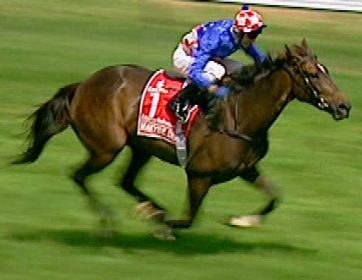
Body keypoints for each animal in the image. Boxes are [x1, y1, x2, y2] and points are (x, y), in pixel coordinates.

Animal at [13, 39, 350, 240]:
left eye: (326, 70)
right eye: (312, 74)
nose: (345, 105)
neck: (241, 112)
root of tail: (82, 86)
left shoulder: (246, 169)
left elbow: (274, 196)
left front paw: (243, 220)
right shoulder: (199, 175)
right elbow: (188, 219)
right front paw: (162, 227)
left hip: (140, 148)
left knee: (124, 181)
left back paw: (147, 209)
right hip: (107, 147)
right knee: (79, 175)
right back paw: (110, 224)